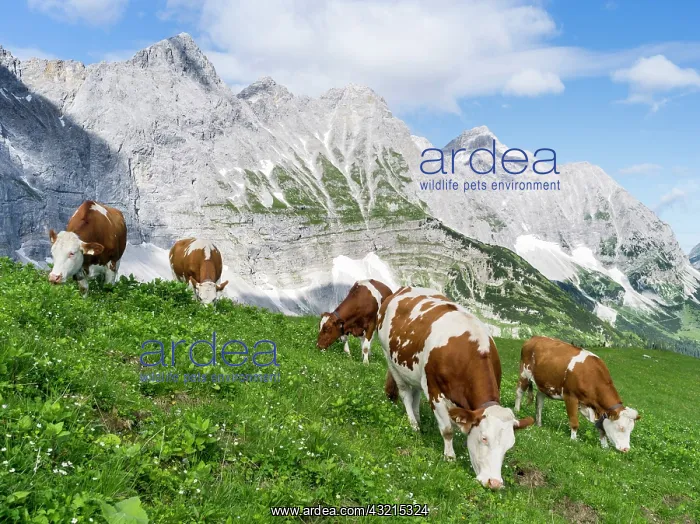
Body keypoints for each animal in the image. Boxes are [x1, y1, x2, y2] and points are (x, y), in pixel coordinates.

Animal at [378, 287, 533, 490]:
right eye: (484, 438)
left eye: (509, 446)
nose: (494, 483)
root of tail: (404, 288)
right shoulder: (435, 391)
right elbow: (447, 430)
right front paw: (450, 457)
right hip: (390, 358)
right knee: (405, 393)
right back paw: (413, 423)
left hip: (416, 372)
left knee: (416, 392)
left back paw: (418, 417)